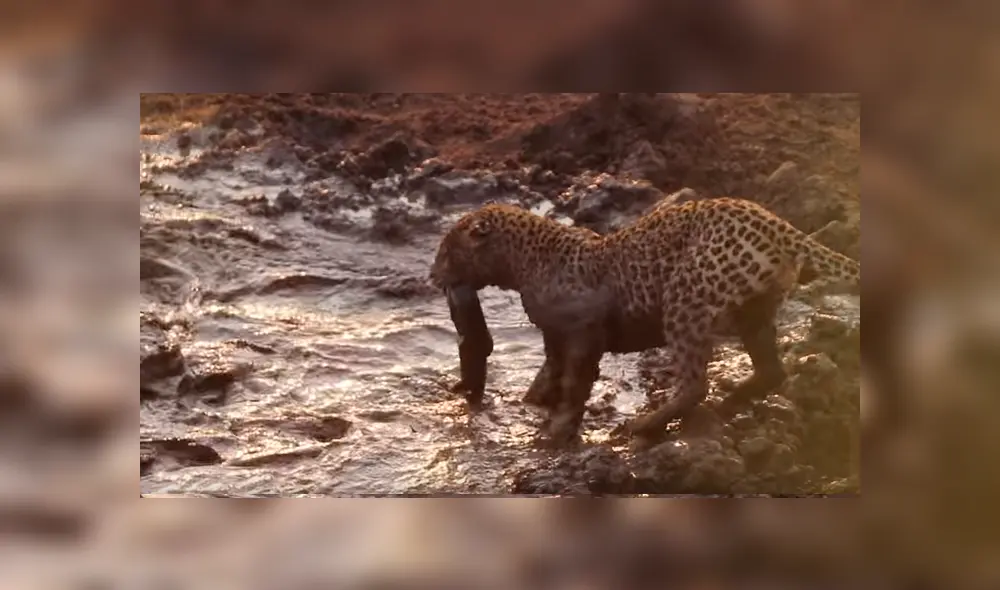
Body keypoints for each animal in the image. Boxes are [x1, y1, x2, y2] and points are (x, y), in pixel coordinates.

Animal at [429, 196, 860, 445]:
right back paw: (728, 405)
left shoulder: (585, 333)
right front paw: (534, 406)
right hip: (754, 312)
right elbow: (548, 376)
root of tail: (781, 228)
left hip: (686, 302)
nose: (432, 276)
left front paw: (556, 432)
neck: (525, 264)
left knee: (694, 383)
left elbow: (574, 383)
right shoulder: (554, 335)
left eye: (447, 251)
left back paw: (644, 426)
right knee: (771, 371)